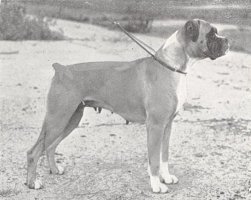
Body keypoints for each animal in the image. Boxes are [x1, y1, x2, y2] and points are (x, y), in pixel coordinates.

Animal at [26, 19, 228, 193]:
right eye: (211, 33)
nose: (227, 40)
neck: (171, 66)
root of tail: (61, 68)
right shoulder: (155, 126)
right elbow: (154, 159)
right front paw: (157, 185)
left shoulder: (167, 125)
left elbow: (164, 155)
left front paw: (166, 177)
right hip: (57, 119)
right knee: (34, 151)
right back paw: (33, 183)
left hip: (71, 119)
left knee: (50, 146)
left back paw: (54, 170)